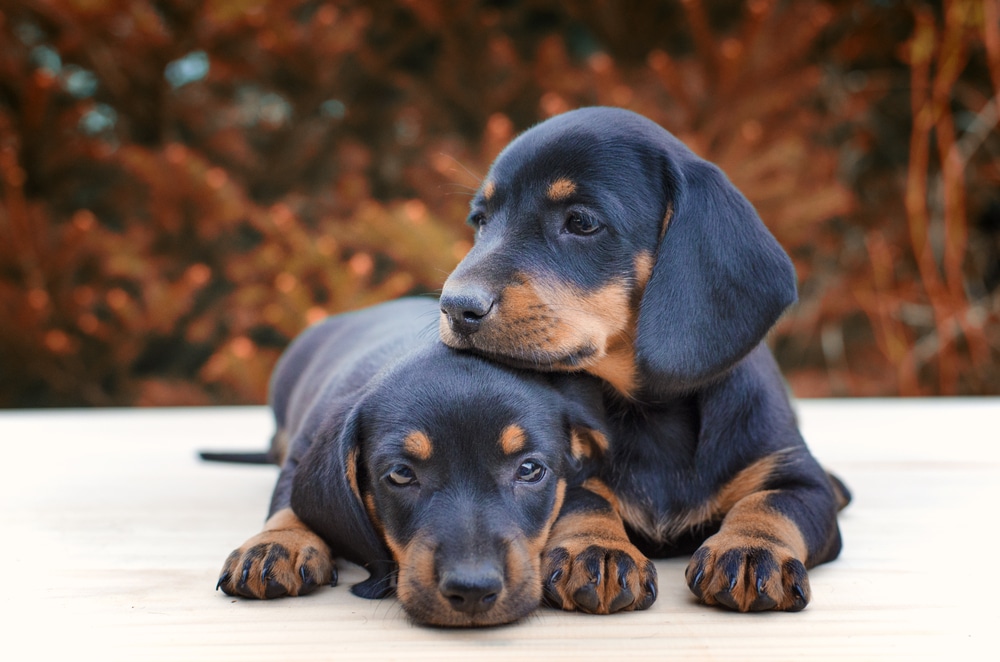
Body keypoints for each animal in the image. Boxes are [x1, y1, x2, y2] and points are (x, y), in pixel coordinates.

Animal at [214, 298, 644, 632]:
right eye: (401, 474)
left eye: (529, 470)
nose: (472, 592)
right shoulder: (304, 446)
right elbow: (288, 497)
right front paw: (278, 542)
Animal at [442, 106, 848, 616]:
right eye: (480, 221)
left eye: (581, 222)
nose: (455, 307)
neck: (653, 414)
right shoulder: (565, 473)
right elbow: (584, 500)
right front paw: (597, 549)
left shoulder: (798, 478)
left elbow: (771, 505)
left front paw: (751, 549)